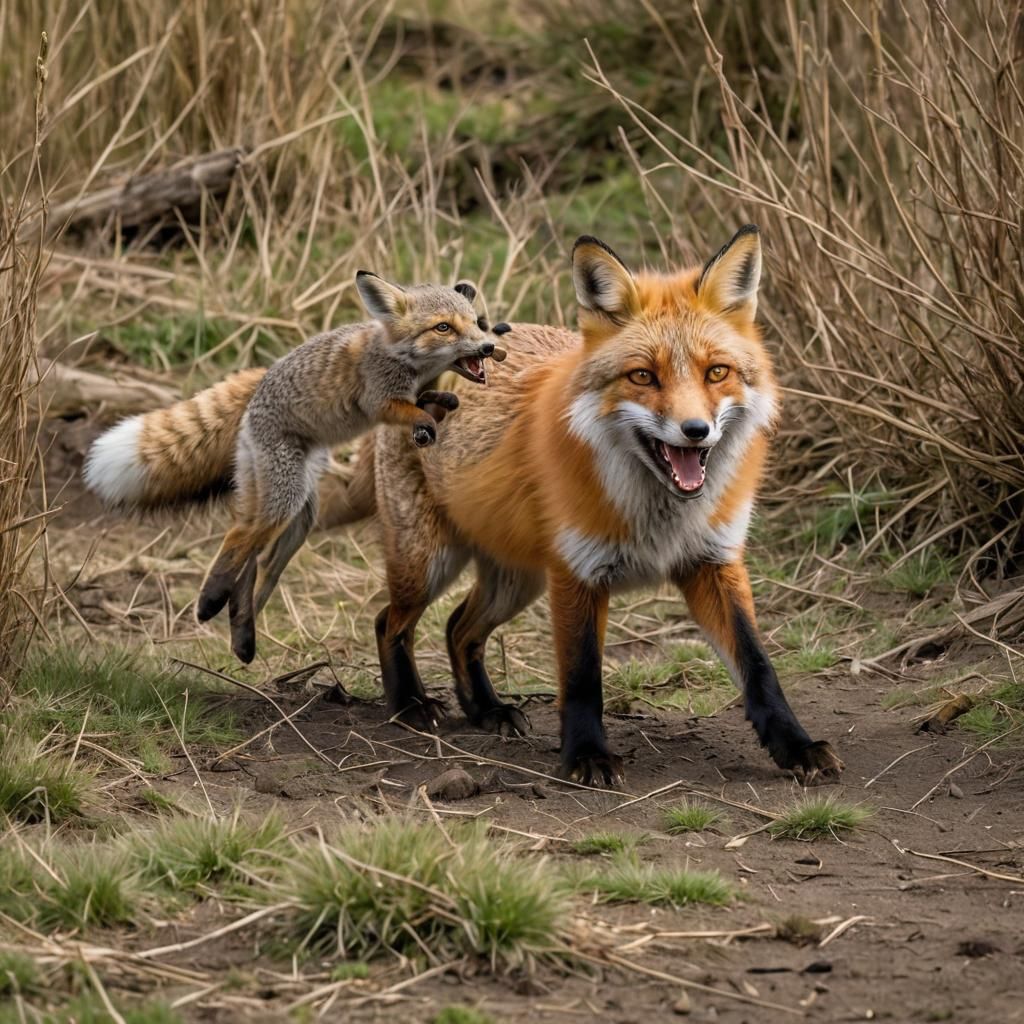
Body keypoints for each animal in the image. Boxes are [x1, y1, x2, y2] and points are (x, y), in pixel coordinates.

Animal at [84, 272, 505, 663]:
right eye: (443, 327)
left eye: (474, 322)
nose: (488, 346)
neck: (402, 359)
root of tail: (257, 387)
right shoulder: (379, 401)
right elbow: (409, 410)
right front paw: (425, 423)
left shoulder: (414, 392)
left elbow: (432, 400)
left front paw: (440, 406)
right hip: (285, 497)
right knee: (239, 538)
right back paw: (210, 602)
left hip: (298, 512)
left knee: (258, 562)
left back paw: (242, 632)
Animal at [322, 227, 844, 785]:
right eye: (643, 377)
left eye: (716, 372)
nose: (695, 431)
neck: (659, 516)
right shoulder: (577, 572)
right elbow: (581, 677)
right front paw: (587, 756)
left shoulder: (713, 563)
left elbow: (759, 667)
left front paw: (796, 745)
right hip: (430, 565)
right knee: (390, 622)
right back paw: (410, 706)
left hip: (517, 580)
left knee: (458, 629)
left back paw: (487, 710)